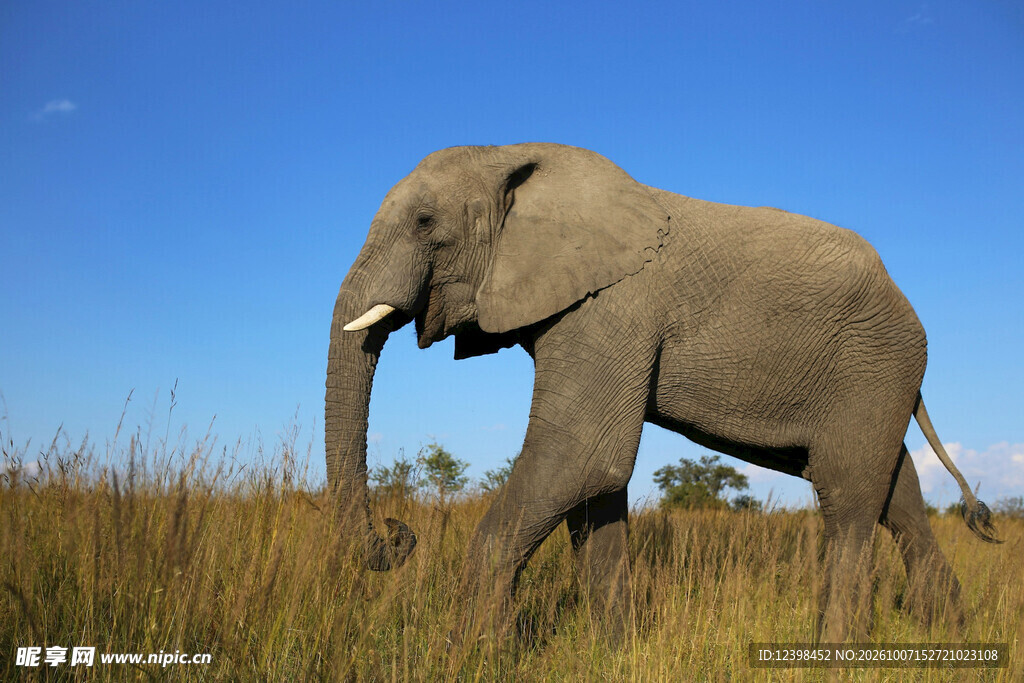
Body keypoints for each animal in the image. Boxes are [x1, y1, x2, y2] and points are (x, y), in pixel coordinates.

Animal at [326, 143, 1000, 644]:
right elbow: (593, 484)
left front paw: (475, 653)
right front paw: (613, 650)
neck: (513, 157)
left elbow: (581, 457)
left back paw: (835, 648)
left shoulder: (615, 306)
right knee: (896, 490)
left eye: (424, 223)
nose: (398, 533)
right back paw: (952, 632)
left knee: (847, 493)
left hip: (875, 364)